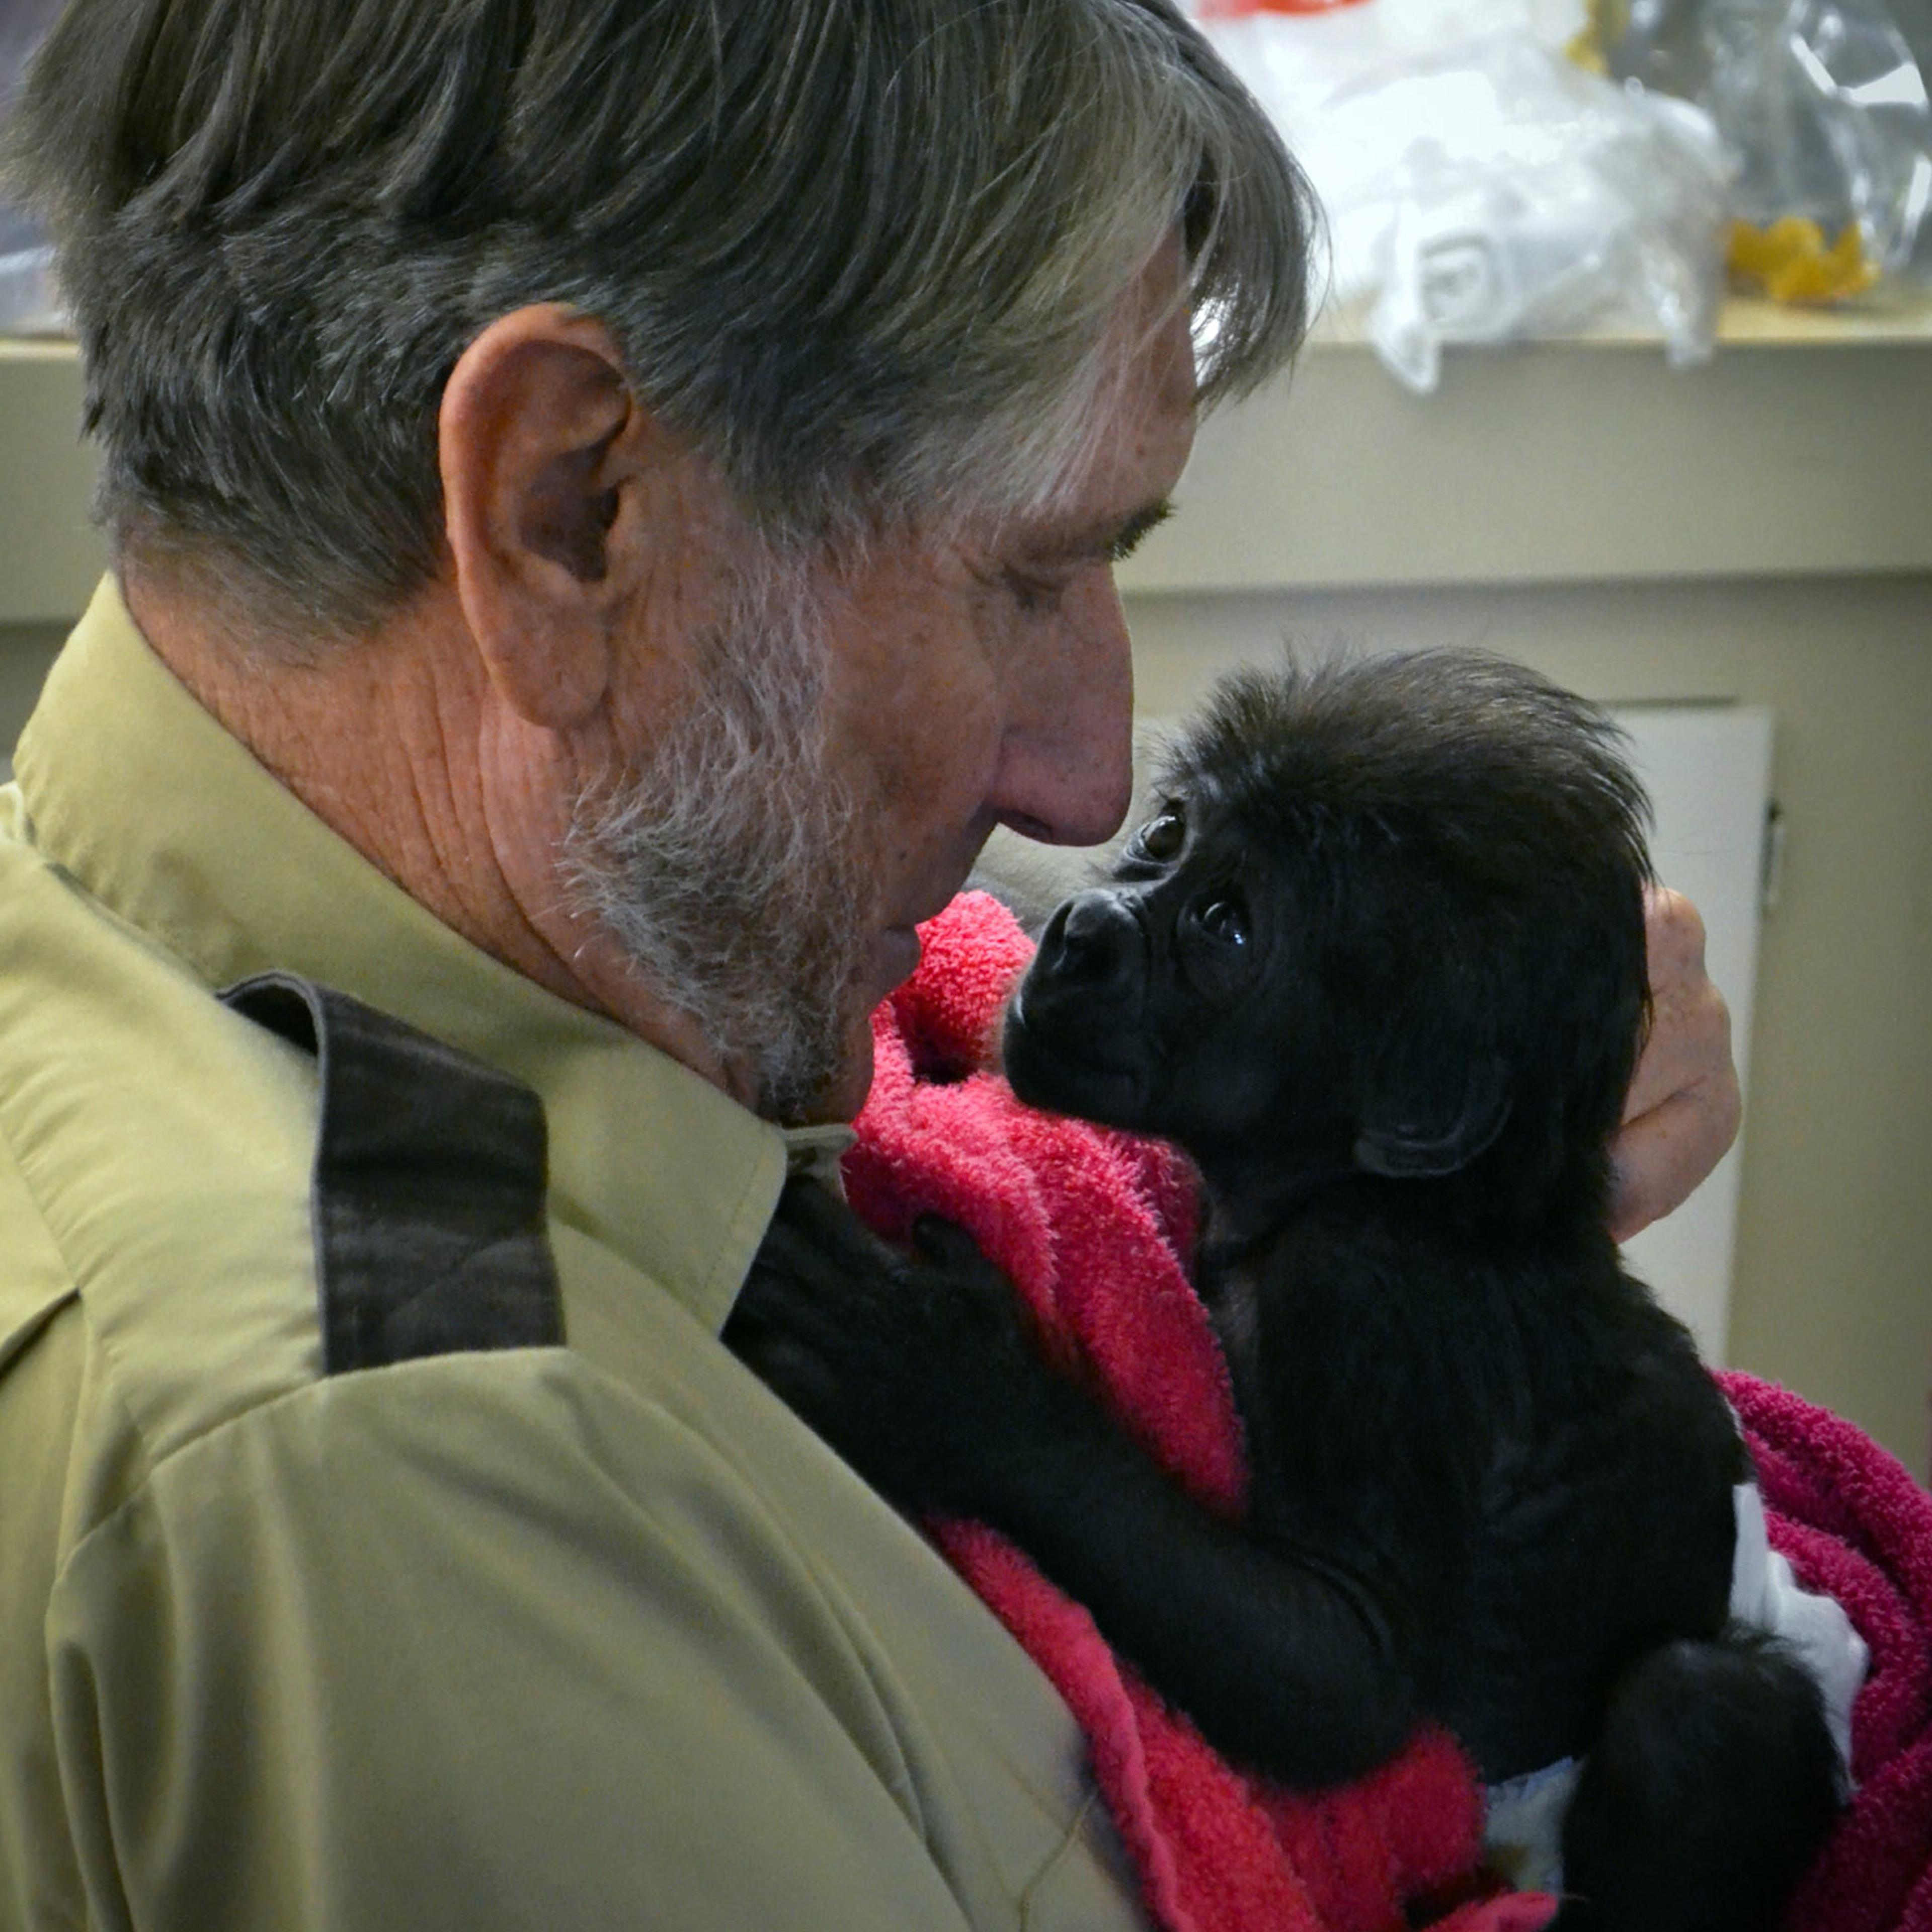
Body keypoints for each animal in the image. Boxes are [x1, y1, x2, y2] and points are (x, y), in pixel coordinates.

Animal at [725, 652, 1847, 1931]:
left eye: (1227, 927)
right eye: (1166, 835)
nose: (1080, 931)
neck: (1360, 1186)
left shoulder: (1362, 1300)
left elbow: (1343, 1676)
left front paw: (947, 1383)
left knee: (1703, 1709)